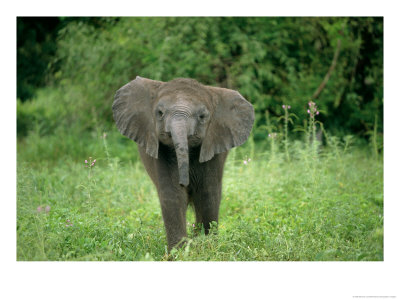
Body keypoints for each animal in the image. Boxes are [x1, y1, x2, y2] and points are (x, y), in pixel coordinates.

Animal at [111, 76, 255, 250]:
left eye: (202, 116)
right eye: (160, 113)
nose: (184, 182)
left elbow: (208, 193)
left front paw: (207, 246)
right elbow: (172, 193)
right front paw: (179, 252)